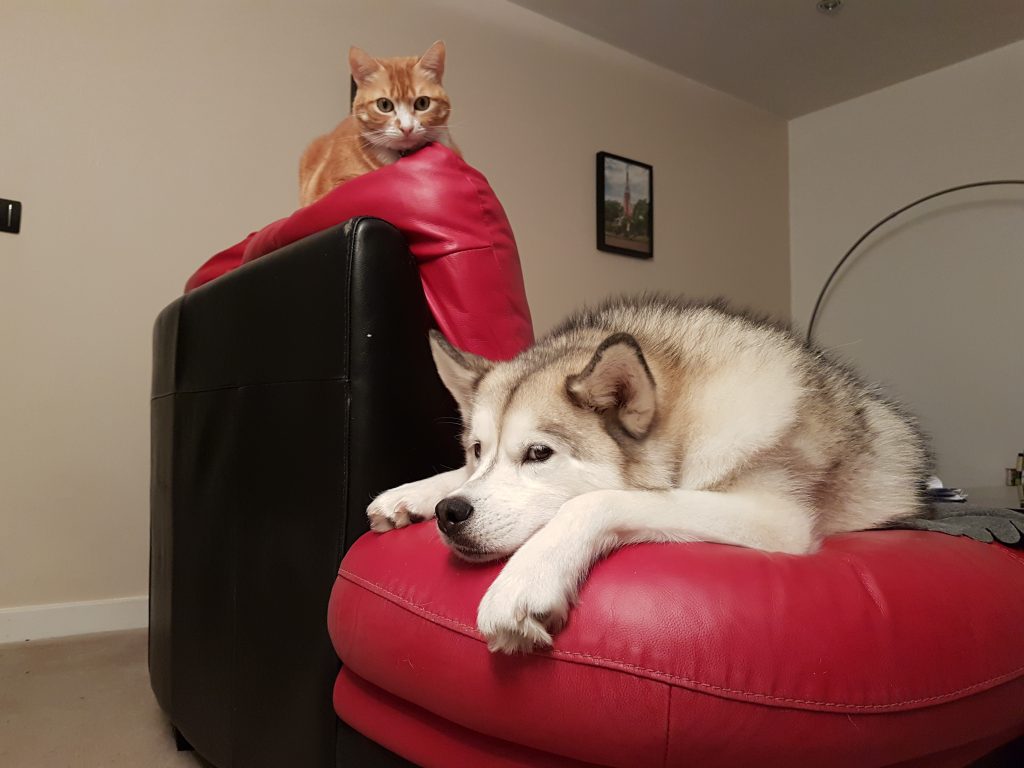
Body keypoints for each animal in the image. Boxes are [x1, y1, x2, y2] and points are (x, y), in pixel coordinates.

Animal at [366, 296, 929, 651]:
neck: (688, 410)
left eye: (539, 454)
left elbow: (596, 501)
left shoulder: (776, 521)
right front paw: (414, 492)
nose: (450, 514)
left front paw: (528, 577)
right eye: (477, 449)